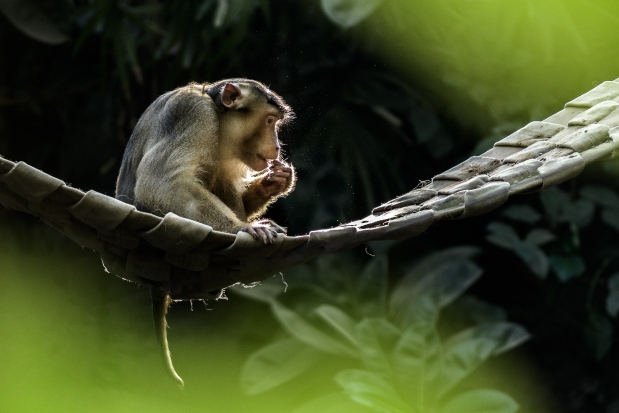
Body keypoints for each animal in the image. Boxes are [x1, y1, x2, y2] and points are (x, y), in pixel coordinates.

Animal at [117, 78, 300, 386]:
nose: (277, 147)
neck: (216, 113)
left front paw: (275, 182)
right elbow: (163, 183)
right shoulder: (194, 115)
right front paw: (243, 227)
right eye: (269, 121)